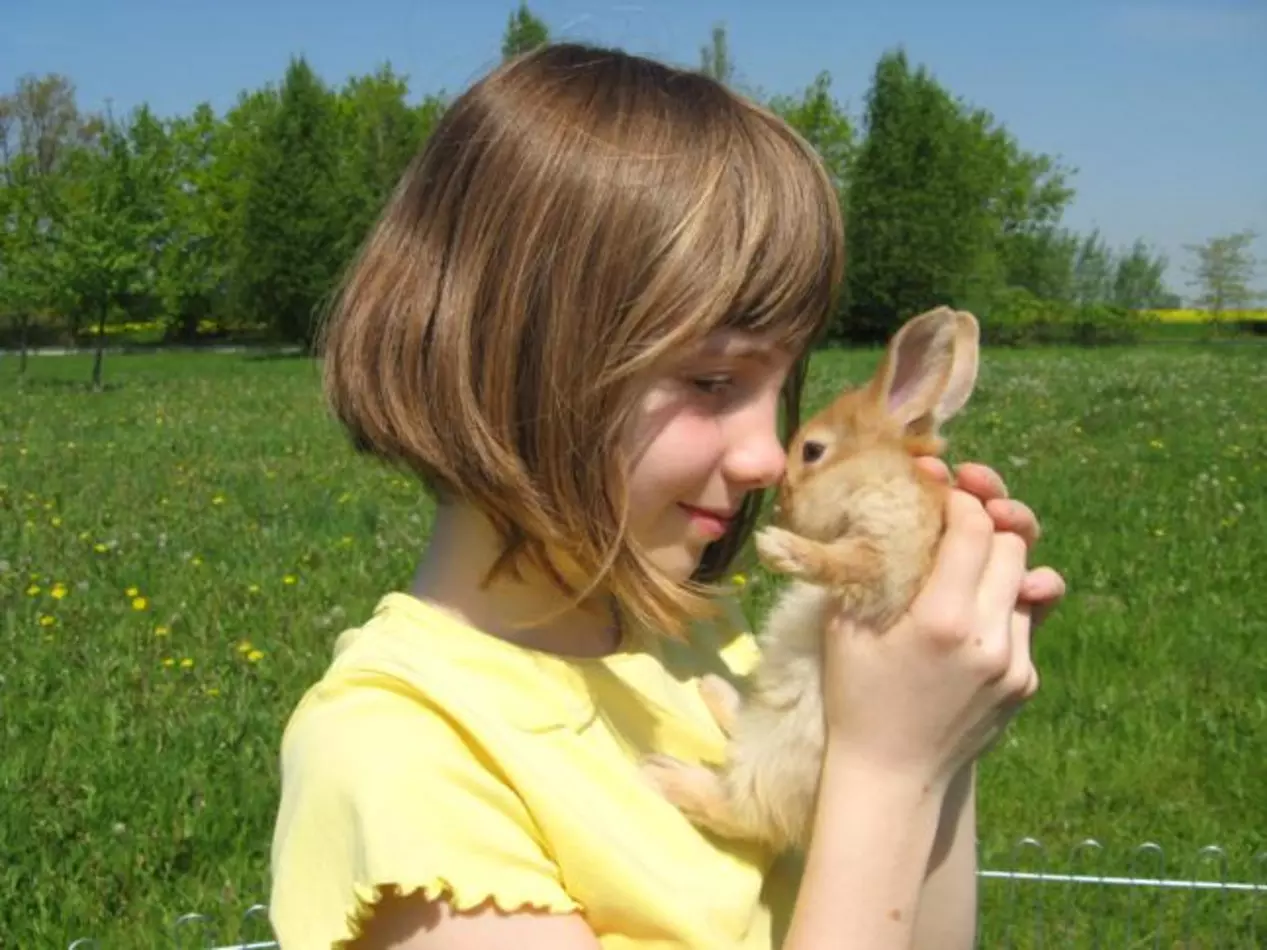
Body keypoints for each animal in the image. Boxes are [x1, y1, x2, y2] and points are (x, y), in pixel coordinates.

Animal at [643, 306, 978, 856]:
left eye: (814, 451)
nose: (780, 511)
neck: (880, 473)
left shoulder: (891, 554)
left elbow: (848, 562)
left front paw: (779, 548)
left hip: (780, 760)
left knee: (743, 812)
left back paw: (661, 771)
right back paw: (715, 690)